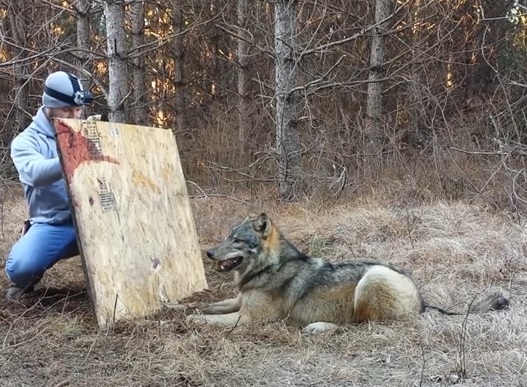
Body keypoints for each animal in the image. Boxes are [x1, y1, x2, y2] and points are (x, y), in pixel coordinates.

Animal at [167, 212, 510, 334]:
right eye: (227, 237)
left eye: (237, 241)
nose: (209, 253)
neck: (268, 268)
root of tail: (423, 301)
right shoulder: (237, 302)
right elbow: (204, 305)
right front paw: (173, 308)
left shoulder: (249, 318)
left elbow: (207, 318)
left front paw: (187, 321)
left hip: (370, 281)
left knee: (358, 325)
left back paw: (319, 327)